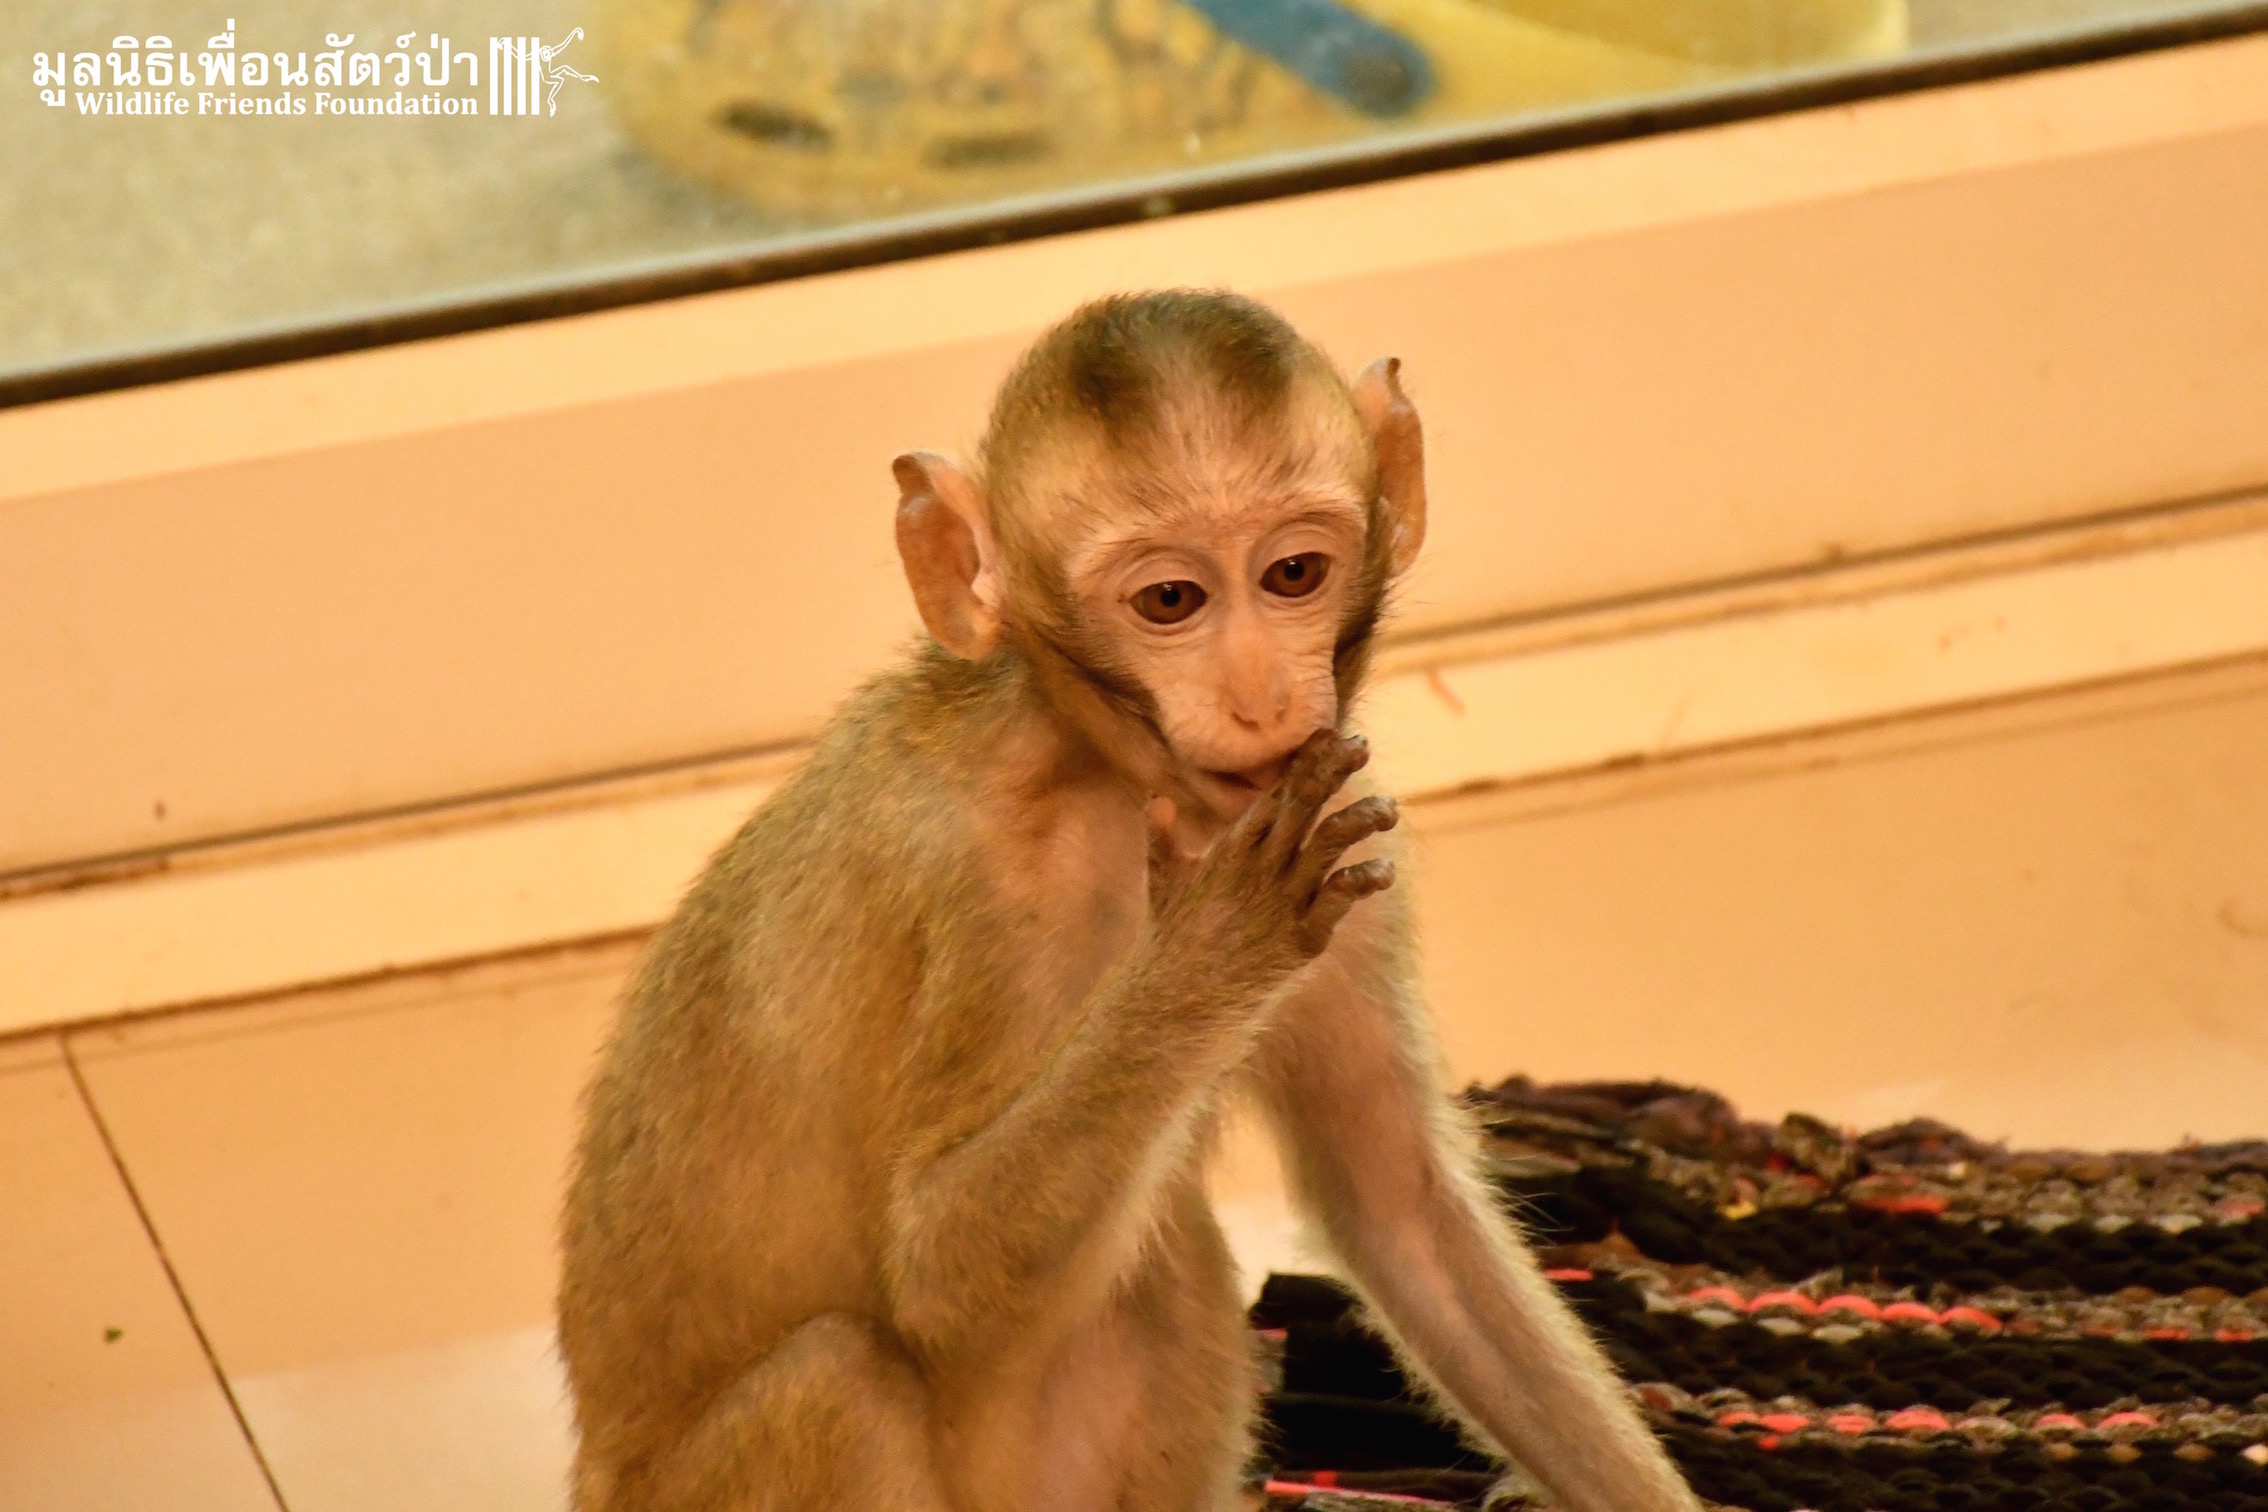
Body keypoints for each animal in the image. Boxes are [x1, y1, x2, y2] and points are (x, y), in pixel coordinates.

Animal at [557, 290, 1701, 1512]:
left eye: (1292, 575)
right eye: (1171, 600)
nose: (1258, 700)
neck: (1102, 770)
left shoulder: (1339, 825)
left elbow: (1398, 1204)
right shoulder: (993, 891)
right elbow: (935, 1267)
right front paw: (1210, 953)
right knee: (841, 1382)